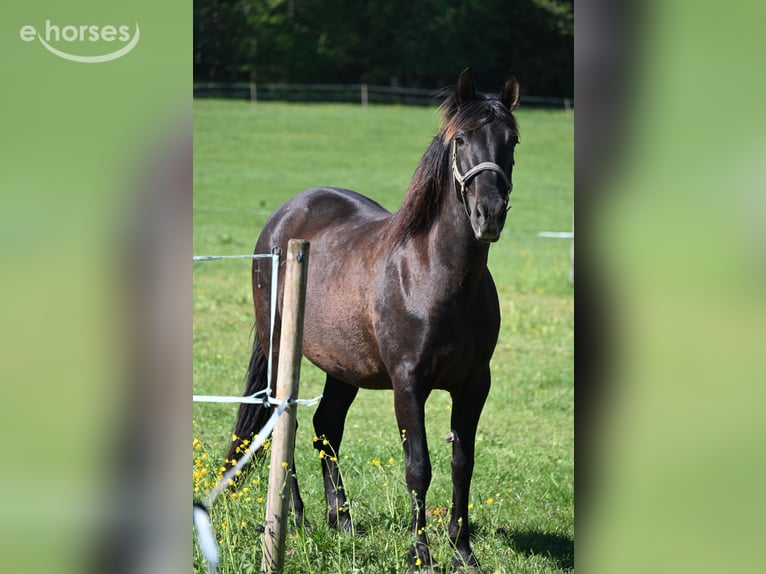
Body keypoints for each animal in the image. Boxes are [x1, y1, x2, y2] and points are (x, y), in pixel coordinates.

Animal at [226, 68, 521, 570]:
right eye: (460, 139)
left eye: (512, 140)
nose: (489, 214)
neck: (436, 275)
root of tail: (283, 218)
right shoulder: (408, 383)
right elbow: (418, 466)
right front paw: (422, 554)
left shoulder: (474, 384)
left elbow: (463, 464)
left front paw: (463, 552)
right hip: (280, 348)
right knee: (284, 422)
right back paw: (298, 517)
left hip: (343, 366)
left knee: (326, 426)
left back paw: (340, 520)